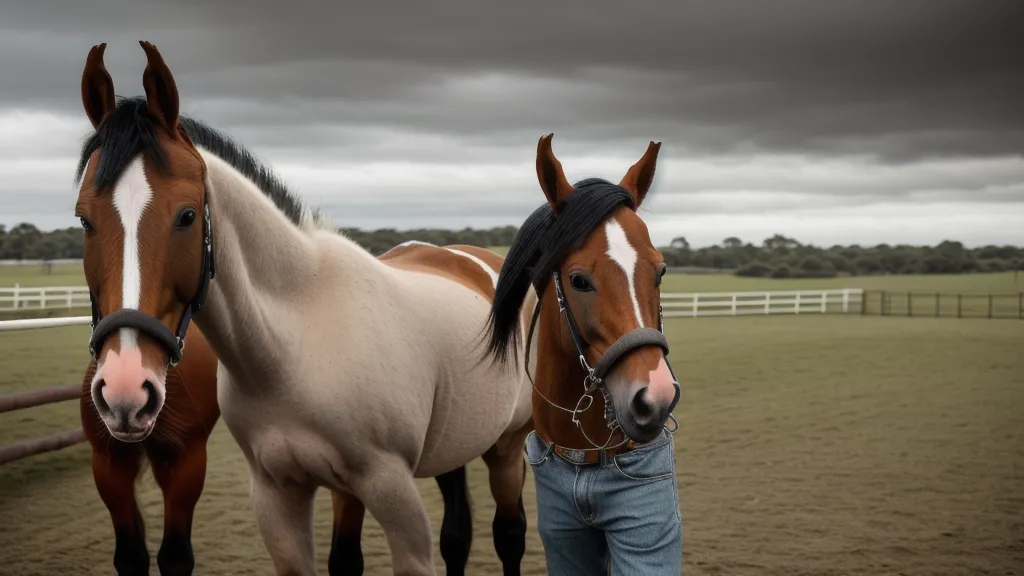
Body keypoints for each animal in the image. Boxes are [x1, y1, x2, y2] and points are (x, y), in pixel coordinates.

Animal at [74, 41, 536, 576]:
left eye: (187, 216)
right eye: (84, 219)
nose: (125, 389)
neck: (295, 344)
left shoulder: (393, 495)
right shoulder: (278, 497)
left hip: (507, 448)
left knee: (509, 535)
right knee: (458, 536)